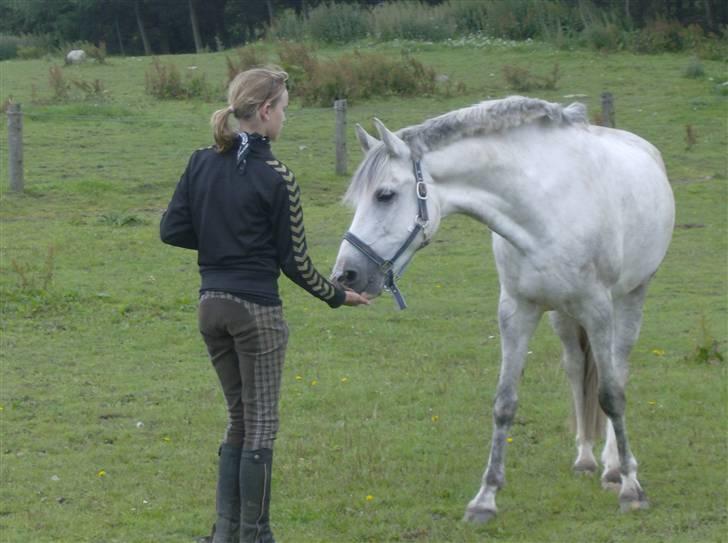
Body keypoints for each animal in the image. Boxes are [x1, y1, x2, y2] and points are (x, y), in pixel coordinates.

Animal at [332, 96, 672, 524]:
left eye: (385, 195)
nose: (345, 275)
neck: (545, 207)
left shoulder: (598, 309)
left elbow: (611, 395)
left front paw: (631, 488)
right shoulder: (516, 310)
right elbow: (505, 402)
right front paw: (485, 498)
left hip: (630, 298)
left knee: (618, 370)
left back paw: (614, 468)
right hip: (563, 316)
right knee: (576, 369)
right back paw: (585, 458)